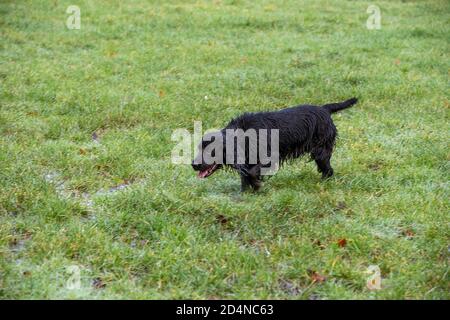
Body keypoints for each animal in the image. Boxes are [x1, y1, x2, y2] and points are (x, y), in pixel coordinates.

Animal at [192, 97, 358, 191]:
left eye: (211, 150)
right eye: (199, 148)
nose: (193, 165)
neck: (242, 135)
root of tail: (324, 109)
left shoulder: (269, 158)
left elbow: (252, 173)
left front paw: (256, 185)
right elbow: (245, 177)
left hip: (321, 152)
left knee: (328, 170)